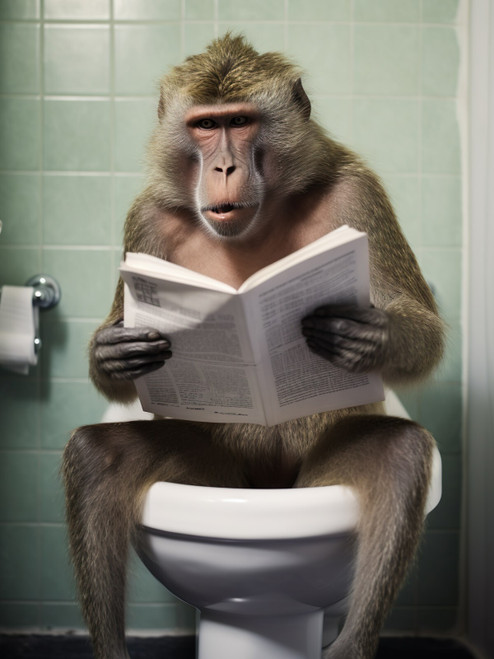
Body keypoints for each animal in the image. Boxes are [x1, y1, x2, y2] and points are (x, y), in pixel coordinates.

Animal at [62, 34, 444, 659]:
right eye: (205, 125)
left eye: (239, 122)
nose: (223, 166)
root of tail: (267, 487)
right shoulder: (146, 221)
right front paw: (114, 351)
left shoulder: (359, 194)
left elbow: (424, 332)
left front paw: (367, 335)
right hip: (217, 482)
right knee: (98, 459)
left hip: (309, 488)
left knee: (400, 457)